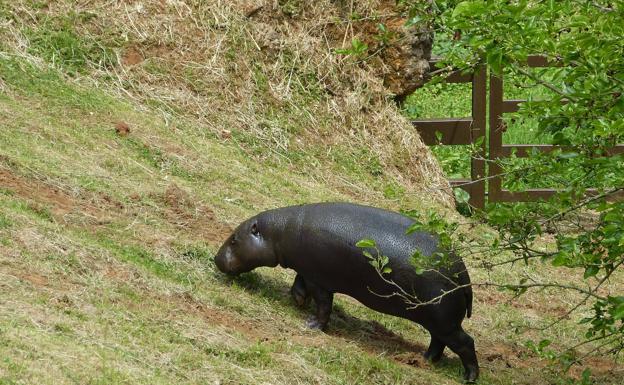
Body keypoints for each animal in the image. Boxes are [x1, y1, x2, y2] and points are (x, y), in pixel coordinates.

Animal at [214, 202, 478, 380]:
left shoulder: (319, 280)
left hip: (444, 321)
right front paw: (298, 300)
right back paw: (424, 360)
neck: (278, 232)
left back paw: (469, 377)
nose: (215, 258)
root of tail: (463, 275)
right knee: (437, 341)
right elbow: (299, 283)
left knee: (465, 342)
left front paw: (311, 325)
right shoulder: (308, 271)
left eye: (234, 239)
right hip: (437, 321)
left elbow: (323, 305)